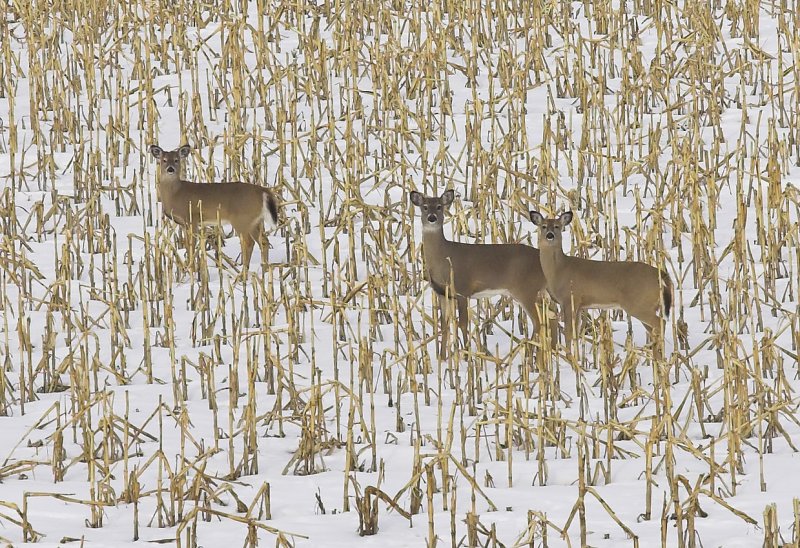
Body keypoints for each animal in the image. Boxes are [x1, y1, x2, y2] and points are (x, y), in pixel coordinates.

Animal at [151, 143, 282, 268]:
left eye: (176, 160)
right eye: (164, 160)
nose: (170, 169)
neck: (175, 194)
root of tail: (263, 191)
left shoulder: (192, 217)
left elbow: (192, 245)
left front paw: (190, 267)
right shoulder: (183, 224)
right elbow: (187, 245)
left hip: (242, 219)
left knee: (249, 242)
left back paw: (244, 269)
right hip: (256, 220)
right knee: (264, 241)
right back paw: (264, 268)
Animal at [410, 188, 552, 360]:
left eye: (439, 206)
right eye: (424, 207)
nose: (432, 218)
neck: (443, 258)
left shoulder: (462, 289)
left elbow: (463, 323)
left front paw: (466, 356)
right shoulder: (442, 293)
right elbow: (444, 325)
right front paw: (442, 358)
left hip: (526, 290)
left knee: (538, 322)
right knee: (549, 319)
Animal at [528, 210, 672, 352]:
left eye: (557, 226)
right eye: (543, 226)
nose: (550, 235)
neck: (559, 269)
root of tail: (662, 276)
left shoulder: (570, 298)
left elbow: (568, 332)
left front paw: (569, 354)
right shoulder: (579, 305)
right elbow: (576, 332)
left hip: (638, 304)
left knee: (661, 323)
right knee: (654, 327)